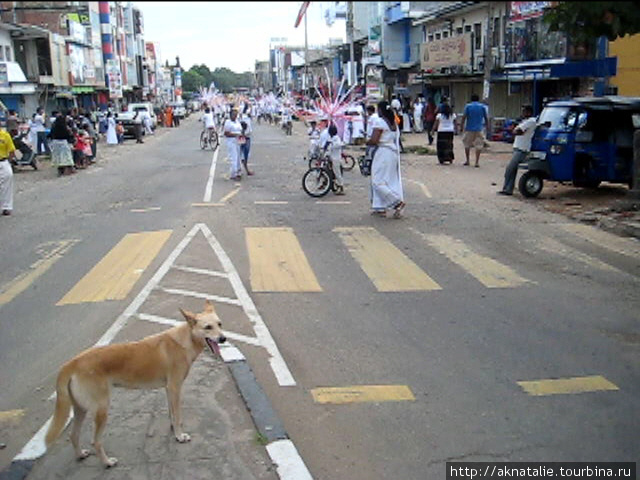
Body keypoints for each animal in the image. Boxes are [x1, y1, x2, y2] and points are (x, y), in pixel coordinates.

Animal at [44, 302, 225, 466]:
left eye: (219, 324)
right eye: (208, 327)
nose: (223, 338)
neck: (185, 340)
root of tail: (72, 363)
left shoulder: (169, 389)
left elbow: (172, 414)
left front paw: (174, 429)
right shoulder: (175, 388)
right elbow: (178, 415)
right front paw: (180, 436)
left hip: (80, 409)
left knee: (73, 435)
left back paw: (80, 455)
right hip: (101, 409)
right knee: (96, 441)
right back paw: (107, 462)